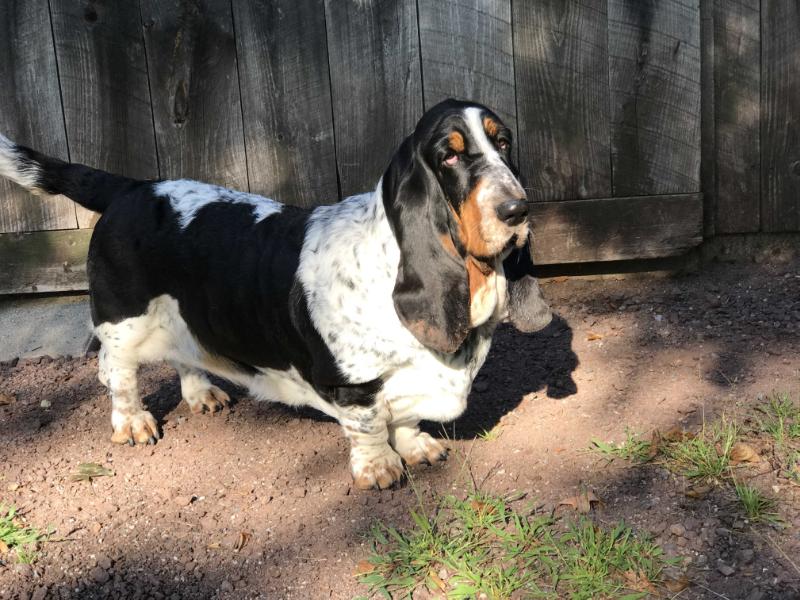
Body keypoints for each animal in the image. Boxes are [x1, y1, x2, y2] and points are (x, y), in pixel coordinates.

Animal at [0, 101, 552, 490]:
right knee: (117, 374)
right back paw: (133, 421)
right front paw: (379, 468)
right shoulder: (353, 385)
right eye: (450, 155)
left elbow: (407, 418)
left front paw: (417, 447)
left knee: (184, 356)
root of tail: (130, 188)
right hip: (124, 323)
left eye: (503, 143)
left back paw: (201, 394)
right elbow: (370, 425)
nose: (517, 209)